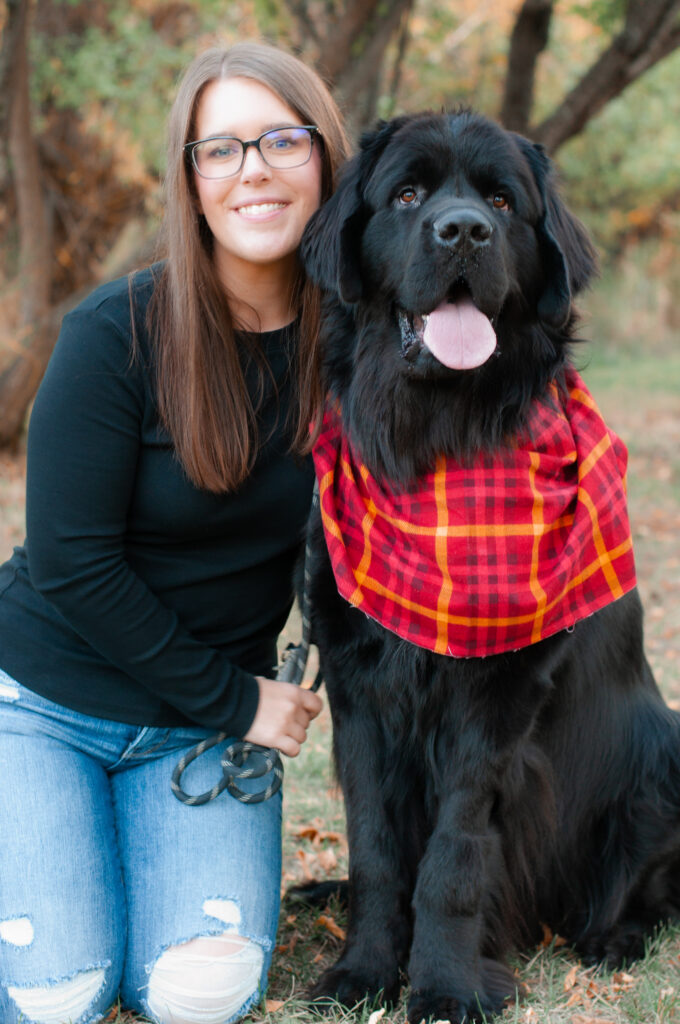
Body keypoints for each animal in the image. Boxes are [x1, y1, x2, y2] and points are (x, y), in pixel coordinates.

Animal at [296, 108, 680, 1019]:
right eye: (407, 194)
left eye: (502, 202)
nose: (463, 230)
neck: (437, 447)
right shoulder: (357, 686)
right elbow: (375, 848)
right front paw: (363, 971)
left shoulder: (496, 697)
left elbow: (454, 858)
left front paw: (443, 984)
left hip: (663, 759)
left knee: (645, 892)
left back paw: (611, 939)